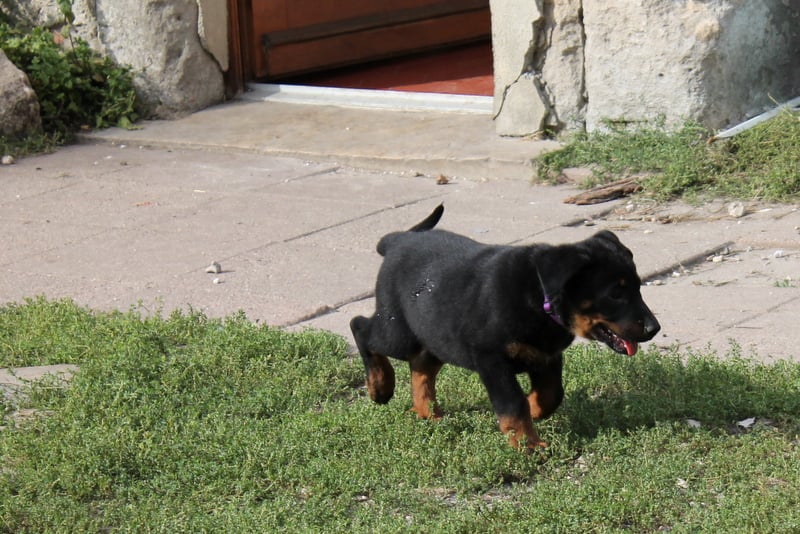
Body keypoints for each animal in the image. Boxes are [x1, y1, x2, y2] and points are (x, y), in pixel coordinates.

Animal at [352, 205, 664, 452]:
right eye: (615, 294)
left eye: (638, 287)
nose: (654, 328)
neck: (539, 299)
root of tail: (396, 241)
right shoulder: (492, 359)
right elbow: (513, 403)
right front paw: (529, 445)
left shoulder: (546, 356)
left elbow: (551, 395)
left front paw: (534, 412)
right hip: (398, 330)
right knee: (362, 328)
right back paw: (380, 387)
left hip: (436, 332)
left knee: (422, 364)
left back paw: (426, 410)